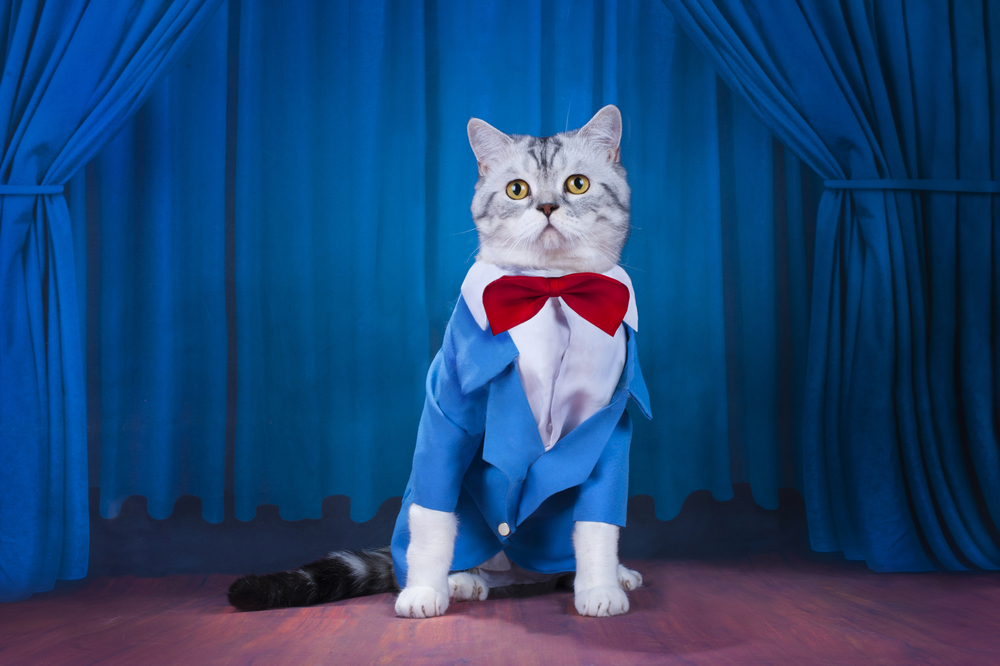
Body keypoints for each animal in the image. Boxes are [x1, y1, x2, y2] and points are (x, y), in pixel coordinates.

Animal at [227, 104, 648, 616]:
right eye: (517, 189)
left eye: (578, 184)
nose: (547, 207)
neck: (550, 291)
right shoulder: (448, 417)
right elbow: (432, 520)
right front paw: (425, 589)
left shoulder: (606, 427)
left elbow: (596, 524)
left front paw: (599, 585)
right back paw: (463, 579)